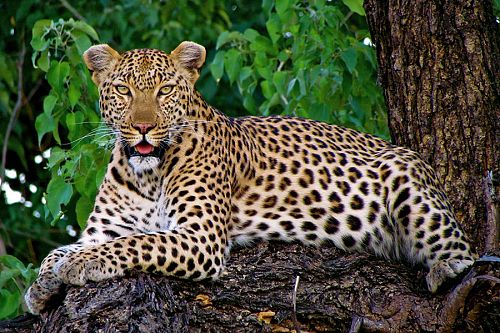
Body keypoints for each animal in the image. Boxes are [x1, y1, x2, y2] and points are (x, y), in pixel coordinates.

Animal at [24, 41, 476, 314]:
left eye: (165, 90)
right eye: (123, 89)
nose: (144, 128)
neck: (147, 176)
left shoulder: (199, 238)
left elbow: (136, 243)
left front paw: (79, 265)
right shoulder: (104, 229)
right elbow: (58, 251)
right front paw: (42, 285)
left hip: (407, 179)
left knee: (465, 251)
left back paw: (445, 268)